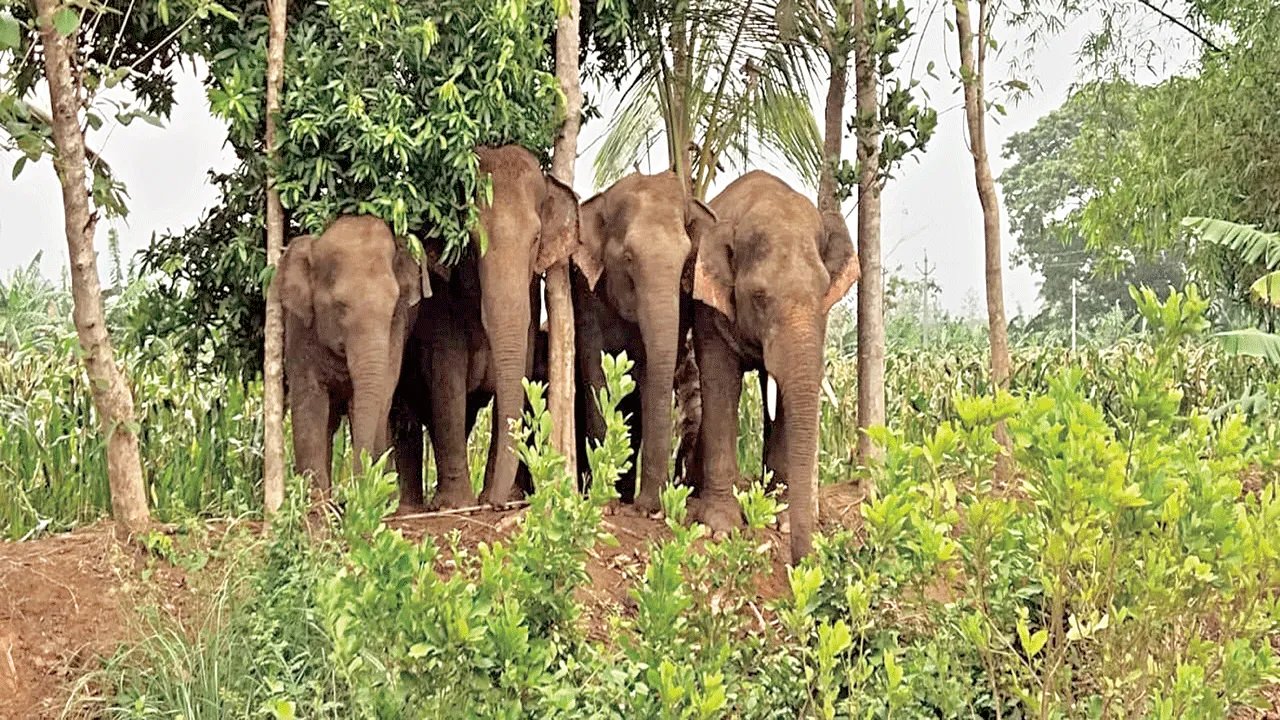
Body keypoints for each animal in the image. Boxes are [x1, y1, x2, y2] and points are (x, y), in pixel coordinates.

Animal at [278, 214, 424, 493]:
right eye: (340, 306)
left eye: (393, 306)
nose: (354, 489)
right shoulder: (300, 328)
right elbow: (309, 402)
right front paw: (316, 500)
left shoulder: (396, 332)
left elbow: (376, 396)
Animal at [392, 144, 578, 508]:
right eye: (472, 241)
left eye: (536, 238)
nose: (497, 504)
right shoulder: (441, 306)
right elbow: (447, 383)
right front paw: (456, 504)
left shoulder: (531, 301)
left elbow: (519, 377)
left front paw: (498, 495)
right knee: (405, 418)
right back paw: (410, 506)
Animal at [570, 170, 717, 512]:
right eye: (628, 257)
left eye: (686, 260)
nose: (651, 505)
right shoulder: (584, 290)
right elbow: (594, 366)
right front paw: (606, 503)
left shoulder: (684, 301)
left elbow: (654, 369)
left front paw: (648, 507)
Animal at [689, 171, 860, 564]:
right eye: (759, 297)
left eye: (824, 291)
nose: (802, 564)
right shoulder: (708, 307)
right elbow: (720, 383)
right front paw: (720, 529)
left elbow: (784, 398)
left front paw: (780, 521)